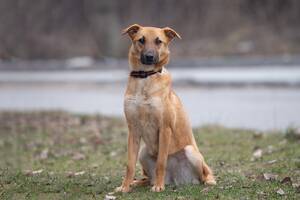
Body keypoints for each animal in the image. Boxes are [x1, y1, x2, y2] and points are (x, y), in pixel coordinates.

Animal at [115, 24, 216, 193]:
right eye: (141, 40)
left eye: (158, 41)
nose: (149, 56)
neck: (145, 78)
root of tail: (174, 179)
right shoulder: (133, 130)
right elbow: (130, 165)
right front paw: (125, 187)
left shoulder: (164, 128)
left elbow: (161, 162)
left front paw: (158, 187)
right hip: (143, 152)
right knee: (147, 178)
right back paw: (140, 182)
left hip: (191, 151)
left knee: (203, 176)